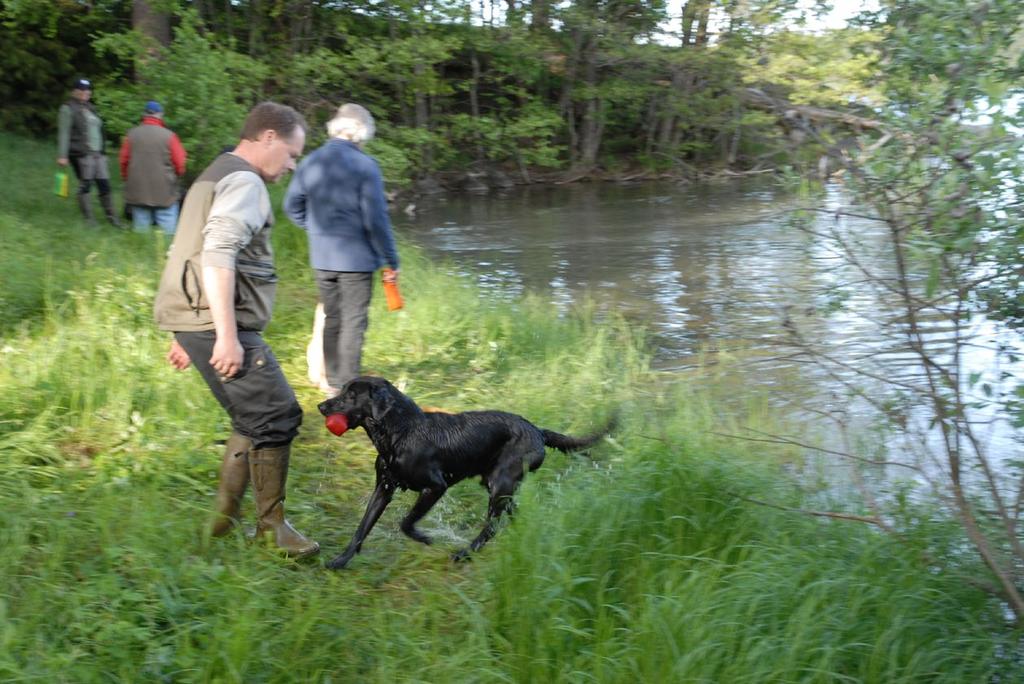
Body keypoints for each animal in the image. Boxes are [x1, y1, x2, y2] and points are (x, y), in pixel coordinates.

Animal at [315, 374, 610, 565]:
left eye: (352, 395)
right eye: (343, 390)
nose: (321, 405)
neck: (400, 433)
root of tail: (538, 430)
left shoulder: (436, 486)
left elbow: (406, 522)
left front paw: (425, 538)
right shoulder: (384, 487)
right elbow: (362, 527)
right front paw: (340, 561)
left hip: (500, 483)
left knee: (492, 526)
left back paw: (465, 553)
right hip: (498, 485)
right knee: (511, 514)